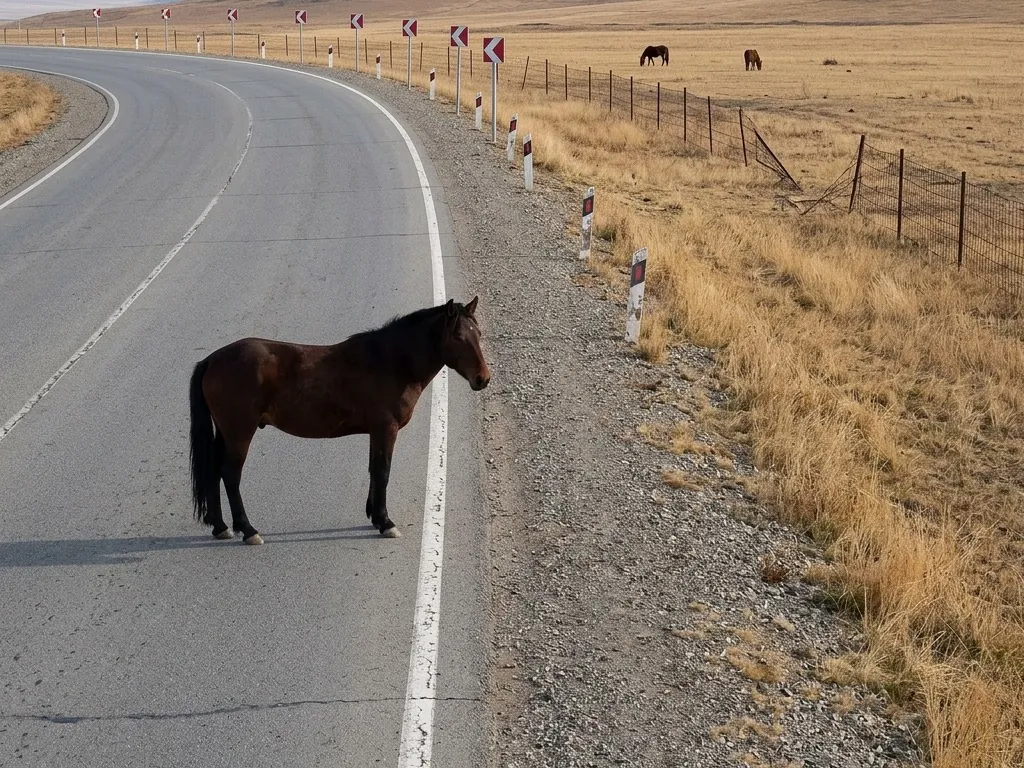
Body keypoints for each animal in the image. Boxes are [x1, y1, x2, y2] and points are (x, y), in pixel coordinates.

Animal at [188, 298, 490, 545]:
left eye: (479, 334)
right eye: (459, 336)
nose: (483, 379)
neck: (392, 362)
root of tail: (212, 359)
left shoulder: (376, 432)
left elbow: (374, 470)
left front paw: (375, 517)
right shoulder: (386, 429)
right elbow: (383, 471)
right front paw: (386, 522)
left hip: (225, 433)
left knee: (213, 471)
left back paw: (221, 527)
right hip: (239, 433)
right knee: (230, 474)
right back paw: (248, 530)